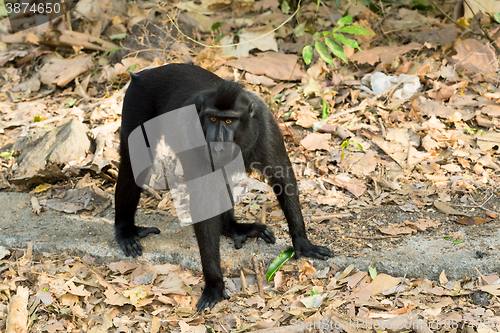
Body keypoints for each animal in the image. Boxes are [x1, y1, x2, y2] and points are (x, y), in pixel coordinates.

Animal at [115, 63, 334, 310]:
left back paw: (232, 228)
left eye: (229, 121)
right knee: (134, 162)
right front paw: (214, 283)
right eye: (212, 119)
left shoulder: (265, 125)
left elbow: (282, 178)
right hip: (136, 101)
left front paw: (302, 243)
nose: (217, 143)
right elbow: (203, 203)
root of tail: (145, 73)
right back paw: (125, 230)